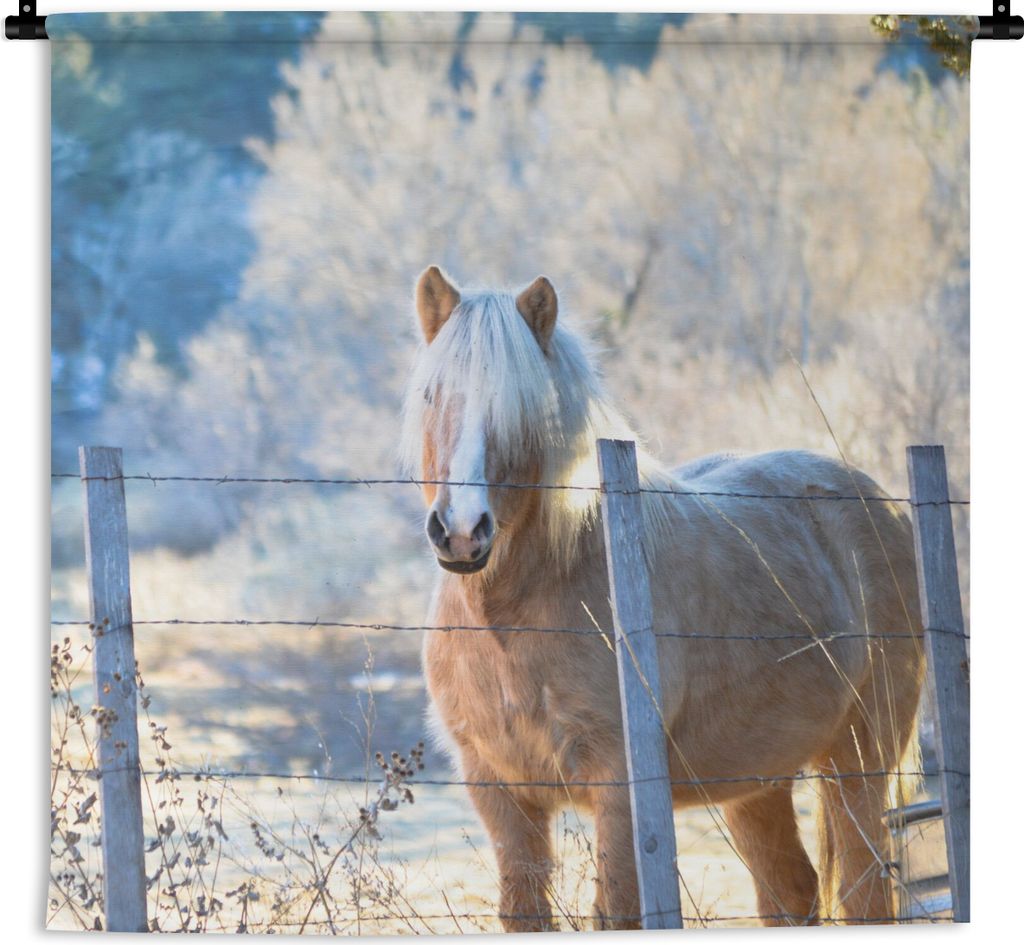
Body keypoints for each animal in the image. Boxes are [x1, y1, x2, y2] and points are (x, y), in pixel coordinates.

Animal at [402, 265, 925, 930]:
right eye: (431, 395)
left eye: (524, 409)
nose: (463, 531)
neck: (512, 623)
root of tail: (880, 503)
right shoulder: (500, 793)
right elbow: (525, 912)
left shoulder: (621, 793)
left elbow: (620, 912)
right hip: (761, 780)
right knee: (791, 892)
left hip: (858, 761)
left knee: (864, 891)